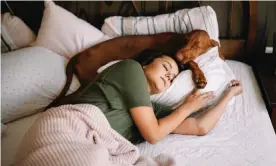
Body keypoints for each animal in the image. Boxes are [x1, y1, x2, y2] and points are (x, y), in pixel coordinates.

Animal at [47, 29, 220, 109]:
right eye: (185, 40)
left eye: (196, 45)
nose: (177, 55)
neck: (177, 40)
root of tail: (78, 55)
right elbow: (192, 63)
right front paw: (200, 77)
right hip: (89, 82)